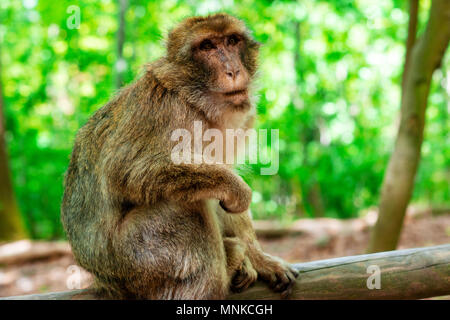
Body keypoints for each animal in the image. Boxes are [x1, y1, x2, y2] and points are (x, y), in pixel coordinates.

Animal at [60, 13, 298, 300]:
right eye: (207, 46)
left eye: (232, 41)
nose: (233, 70)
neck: (199, 103)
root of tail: (105, 281)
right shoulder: (164, 109)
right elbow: (127, 171)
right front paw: (237, 190)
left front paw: (262, 259)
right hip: (139, 256)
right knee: (188, 206)